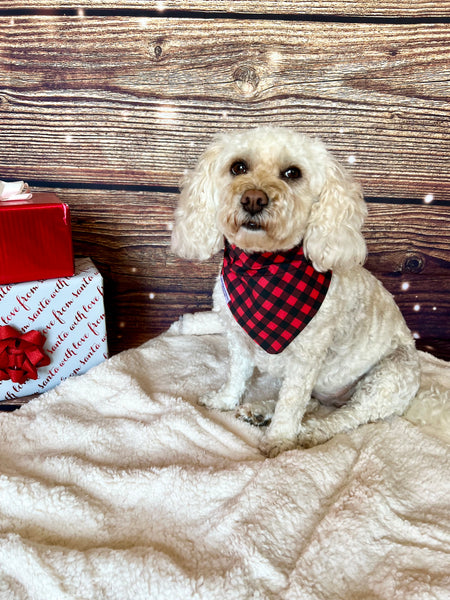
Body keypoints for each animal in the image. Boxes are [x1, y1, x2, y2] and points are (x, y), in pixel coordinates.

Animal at [171, 125, 420, 454]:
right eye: (238, 167)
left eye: (292, 173)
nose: (253, 199)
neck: (262, 266)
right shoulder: (238, 339)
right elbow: (237, 375)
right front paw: (225, 401)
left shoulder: (307, 358)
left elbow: (292, 403)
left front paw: (279, 439)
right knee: (313, 402)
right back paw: (262, 410)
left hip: (389, 375)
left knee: (348, 415)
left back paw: (310, 430)